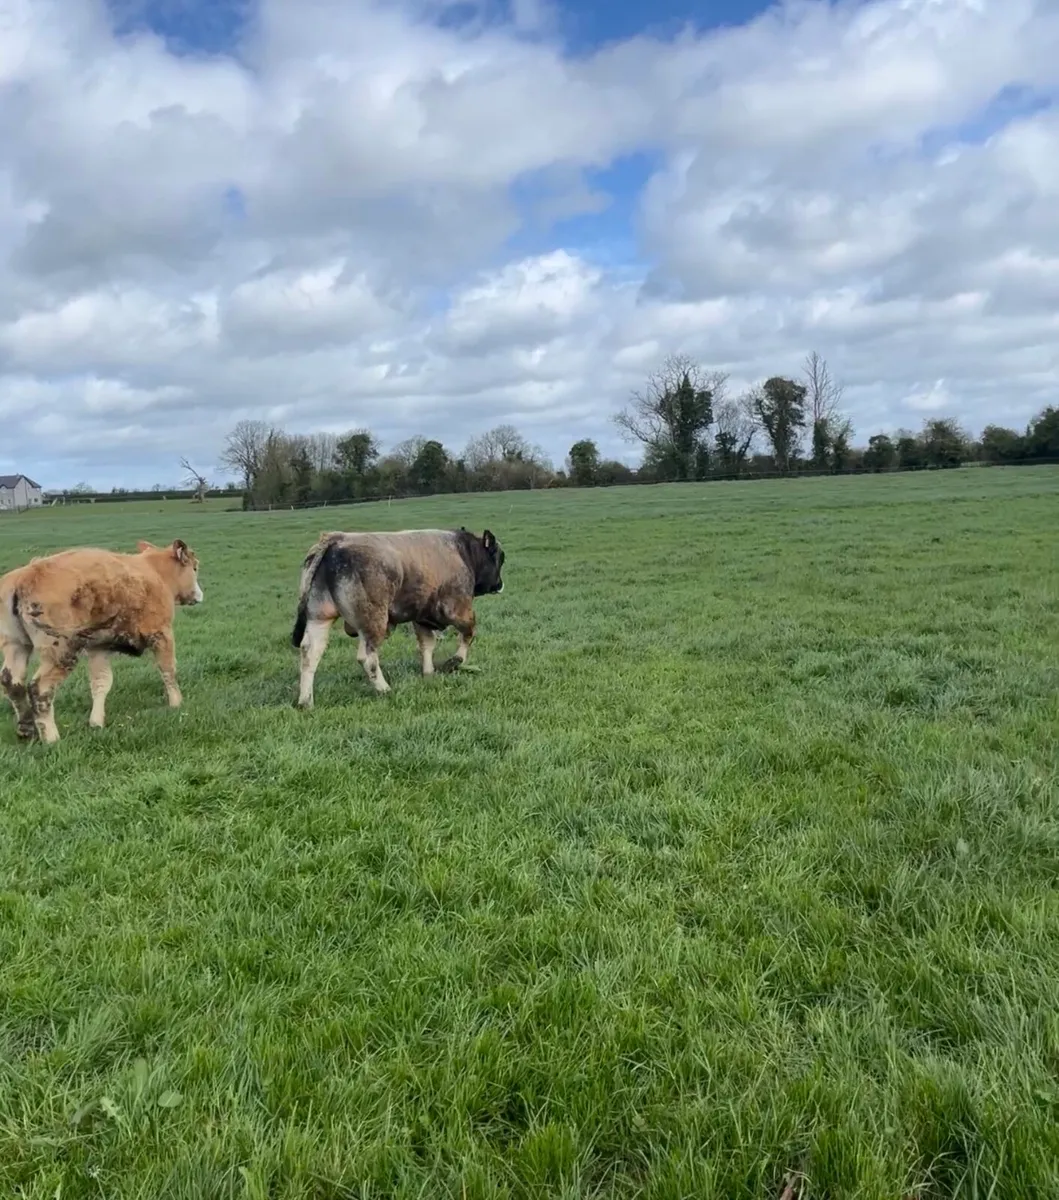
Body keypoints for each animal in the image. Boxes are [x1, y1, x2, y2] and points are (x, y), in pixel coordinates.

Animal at [0, 539, 204, 744]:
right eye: (194, 567)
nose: (199, 595)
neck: (156, 572)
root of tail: (22, 577)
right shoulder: (162, 634)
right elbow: (168, 670)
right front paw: (176, 703)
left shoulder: (99, 647)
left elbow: (101, 682)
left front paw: (96, 722)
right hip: (60, 651)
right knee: (39, 688)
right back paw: (51, 737)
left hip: (16, 645)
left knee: (12, 682)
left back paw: (26, 729)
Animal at [291, 526, 505, 708]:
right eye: (499, 558)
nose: (500, 584)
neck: (464, 552)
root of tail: (337, 539)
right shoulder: (458, 609)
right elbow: (469, 633)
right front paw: (456, 660)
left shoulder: (422, 617)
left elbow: (427, 645)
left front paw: (428, 673)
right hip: (373, 622)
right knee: (367, 658)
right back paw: (384, 689)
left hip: (319, 618)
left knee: (310, 654)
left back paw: (306, 701)